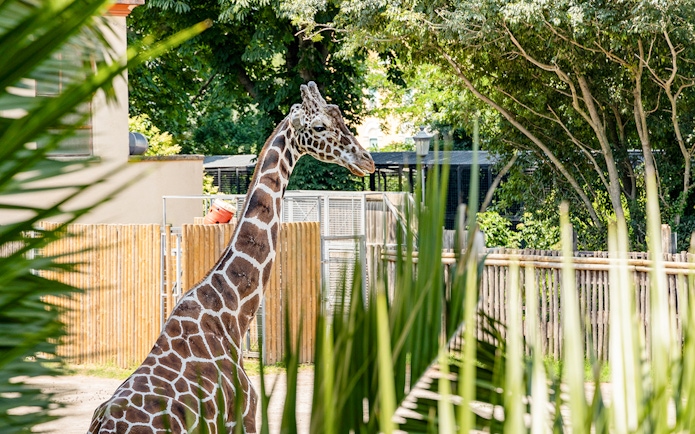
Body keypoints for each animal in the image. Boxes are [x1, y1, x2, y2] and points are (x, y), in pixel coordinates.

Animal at [88, 82, 375, 434]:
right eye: (320, 126)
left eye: (341, 118)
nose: (367, 160)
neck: (233, 314)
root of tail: (104, 425)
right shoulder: (245, 418)